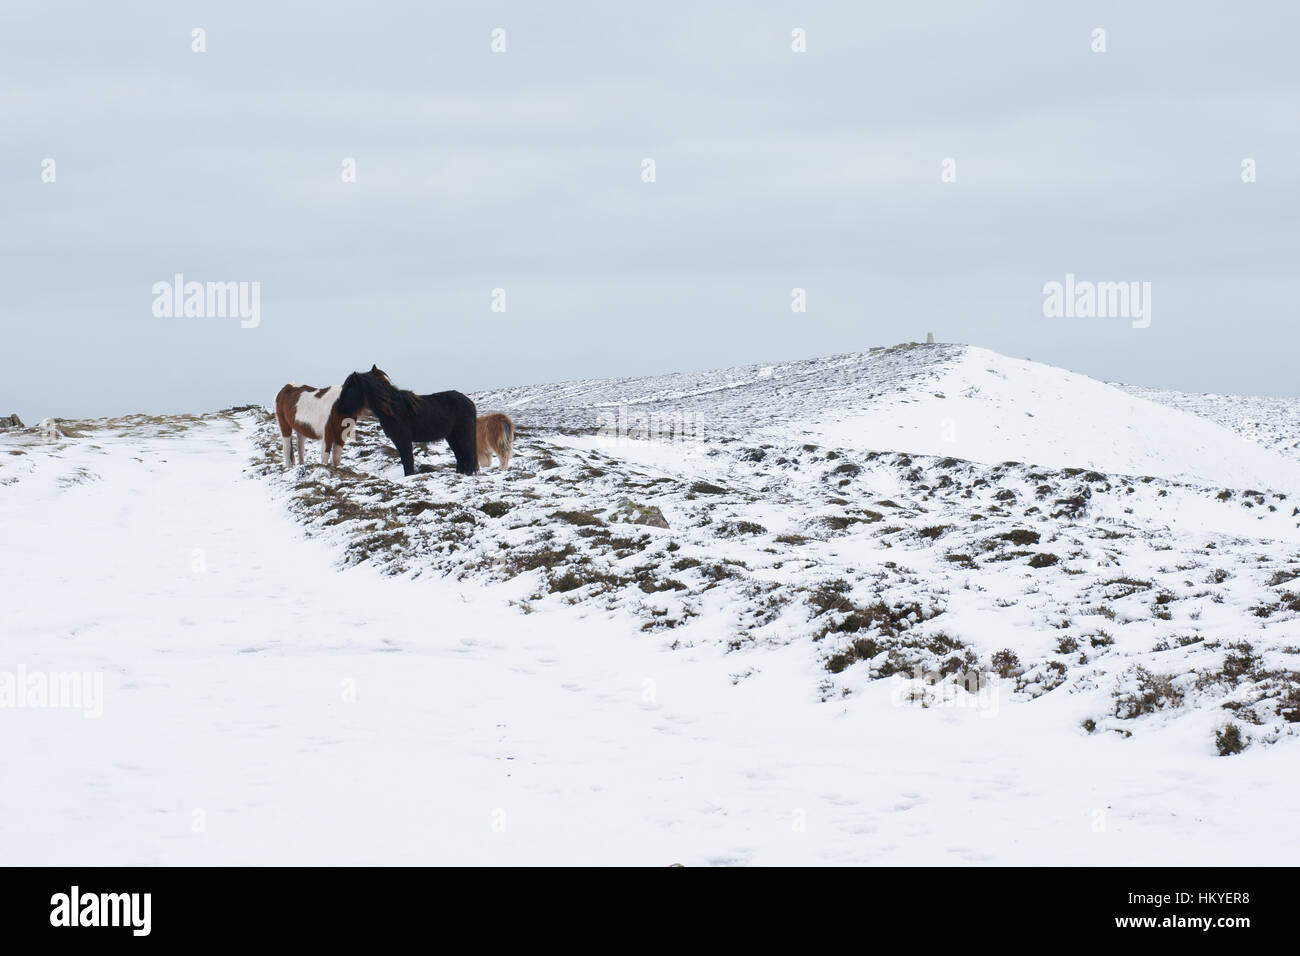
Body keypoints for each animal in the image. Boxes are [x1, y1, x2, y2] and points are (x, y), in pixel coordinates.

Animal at [338, 364, 480, 476]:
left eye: (349, 388)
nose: (339, 408)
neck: (392, 408)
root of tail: (470, 402)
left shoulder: (404, 440)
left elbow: (408, 461)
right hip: (452, 437)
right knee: (461, 458)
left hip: (463, 435)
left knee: (468, 456)